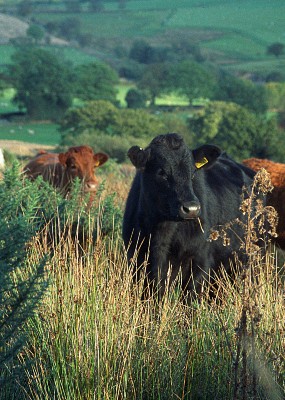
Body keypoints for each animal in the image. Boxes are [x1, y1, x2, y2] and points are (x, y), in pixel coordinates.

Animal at [123, 133, 256, 298]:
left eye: (192, 173)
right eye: (161, 172)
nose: (191, 208)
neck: (162, 234)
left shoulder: (200, 261)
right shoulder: (137, 259)